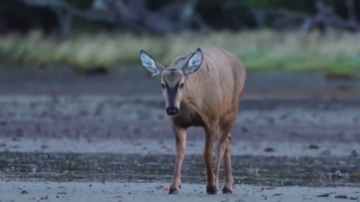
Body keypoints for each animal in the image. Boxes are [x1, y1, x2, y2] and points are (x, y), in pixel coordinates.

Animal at [139, 45, 246, 194]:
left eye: (182, 84)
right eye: (163, 84)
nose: (171, 109)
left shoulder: (211, 120)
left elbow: (207, 153)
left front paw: (211, 186)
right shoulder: (177, 123)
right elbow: (180, 153)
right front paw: (174, 186)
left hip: (232, 110)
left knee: (222, 144)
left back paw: (222, 184)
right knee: (227, 141)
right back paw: (227, 185)